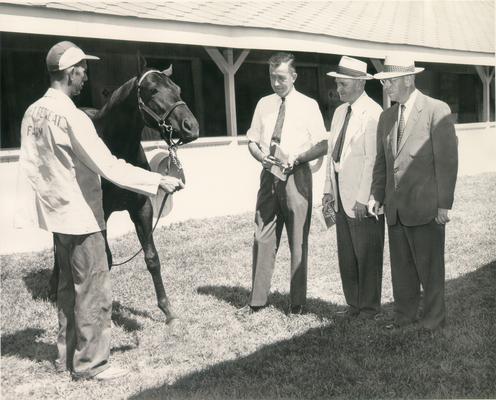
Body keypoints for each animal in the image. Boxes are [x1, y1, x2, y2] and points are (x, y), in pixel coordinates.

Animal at [48, 65, 200, 326]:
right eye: (153, 90)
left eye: (178, 89)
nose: (191, 126)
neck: (117, 150)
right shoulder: (99, 214)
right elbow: (105, 259)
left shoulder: (142, 209)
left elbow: (152, 258)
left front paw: (167, 310)